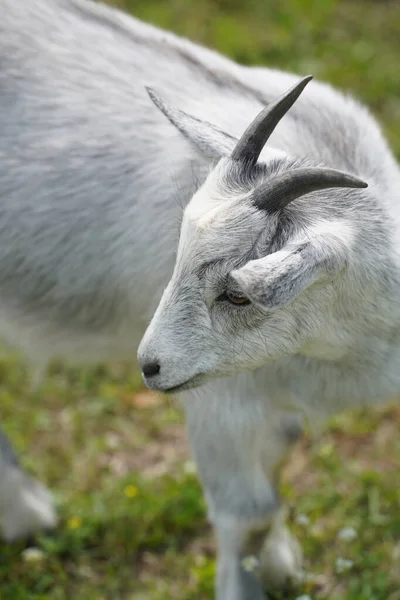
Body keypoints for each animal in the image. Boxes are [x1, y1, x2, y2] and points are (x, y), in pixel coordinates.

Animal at [1, 0, 398, 596]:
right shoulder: (221, 404)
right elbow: (249, 515)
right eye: (178, 251)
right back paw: (26, 513)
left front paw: (280, 565)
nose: (149, 365)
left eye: (236, 293)